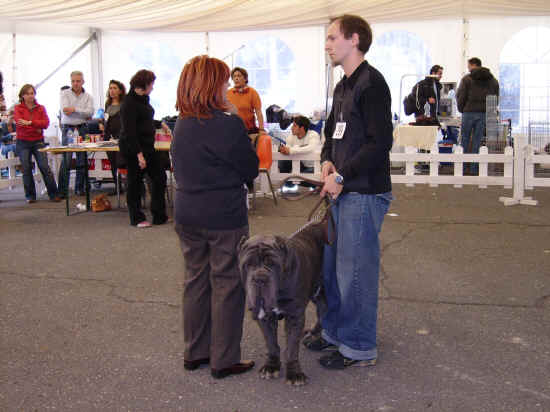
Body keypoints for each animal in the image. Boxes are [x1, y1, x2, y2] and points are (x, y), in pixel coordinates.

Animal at [238, 222, 328, 386]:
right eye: (248, 264)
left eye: (273, 264)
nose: (260, 278)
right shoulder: (264, 317)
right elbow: (271, 344)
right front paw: (271, 366)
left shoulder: (294, 315)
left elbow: (291, 348)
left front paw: (294, 373)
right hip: (317, 293)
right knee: (322, 310)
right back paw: (313, 333)